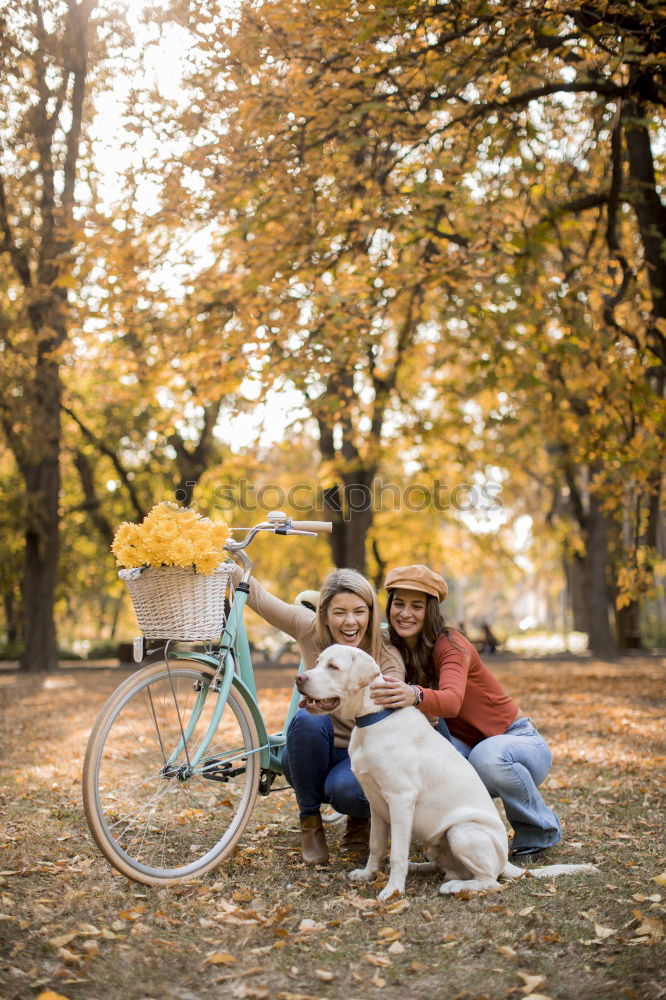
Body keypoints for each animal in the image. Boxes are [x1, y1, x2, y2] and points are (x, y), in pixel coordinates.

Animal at [296, 644, 596, 904]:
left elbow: (397, 852)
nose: (300, 678)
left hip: (462, 832)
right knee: (444, 867)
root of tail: (506, 861)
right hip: (436, 841)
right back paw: (419, 867)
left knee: (490, 880)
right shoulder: (376, 802)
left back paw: (455, 886)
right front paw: (369, 874)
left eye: (333, 667)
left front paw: (393, 890)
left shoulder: (401, 799)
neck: (373, 718)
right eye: (318, 661)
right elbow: (376, 845)